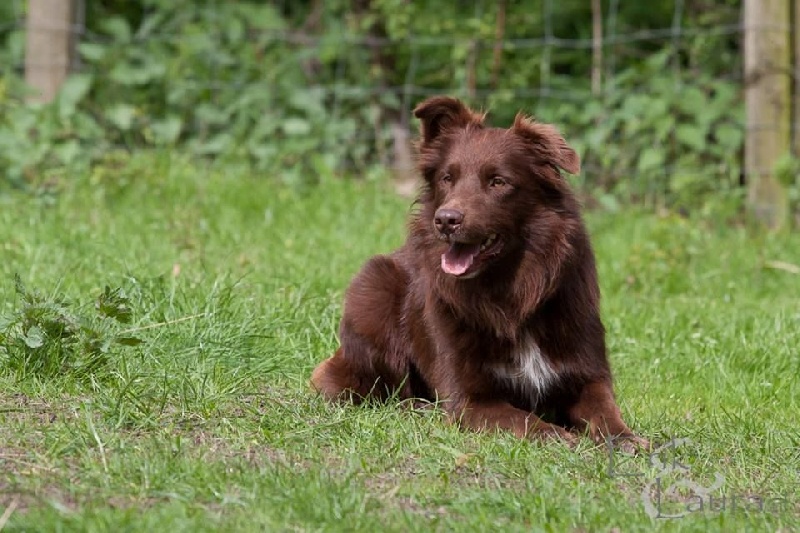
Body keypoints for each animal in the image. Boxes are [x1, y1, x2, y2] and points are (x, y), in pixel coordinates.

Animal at [311, 96, 648, 451]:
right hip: (374, 288)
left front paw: (625, 438)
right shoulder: (470, 399)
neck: (512, 290)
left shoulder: (587, 375)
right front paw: (560, 438)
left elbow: (604, 410)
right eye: (447, 178)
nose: (446, 220)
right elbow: (524, 420)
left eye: (498, 182)